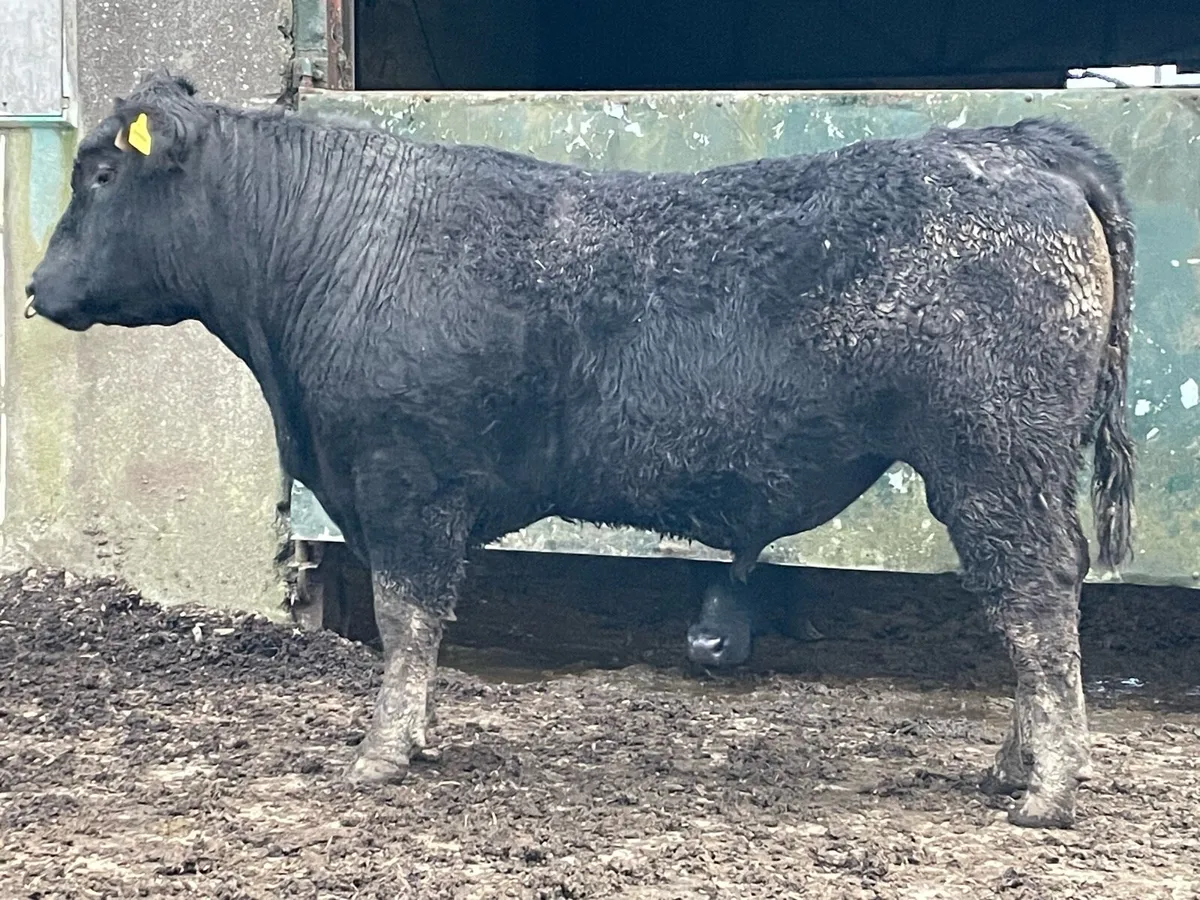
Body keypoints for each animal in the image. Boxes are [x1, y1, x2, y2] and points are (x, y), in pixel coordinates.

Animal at [26, 71, 1135, 829]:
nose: (36, 288)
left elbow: (407, 616)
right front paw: (414, 737)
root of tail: (1023, 142)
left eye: (104, 172)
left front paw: (382, 753)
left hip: (994, 461)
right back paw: (1015, 765)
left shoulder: (405, 479)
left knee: (1036, 597)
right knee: (1041, 596)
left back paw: (1047, 790)